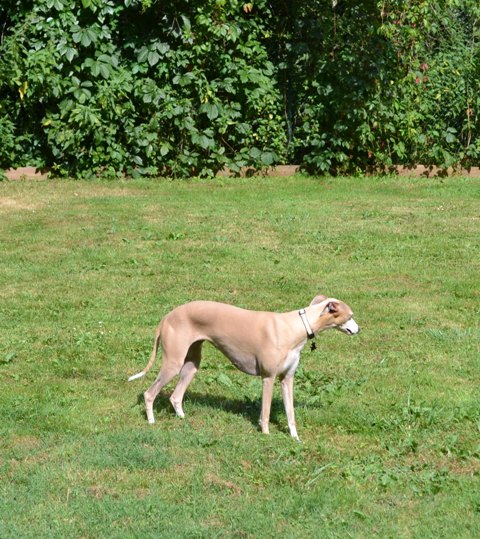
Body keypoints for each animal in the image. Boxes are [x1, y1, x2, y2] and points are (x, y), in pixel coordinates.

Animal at [129, 298, 358, 440]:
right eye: (350, 316)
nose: (359, 329)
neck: (295, 327)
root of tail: (166, 317)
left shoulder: (287, 379)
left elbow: (291, 414)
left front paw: (295, 438)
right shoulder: (268, 378)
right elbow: (265, 412)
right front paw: (266, 435)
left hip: (191, 364)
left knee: (175, 396)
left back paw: (183, 418)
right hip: (173, 363)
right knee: (149, 393)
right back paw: (151, 421)